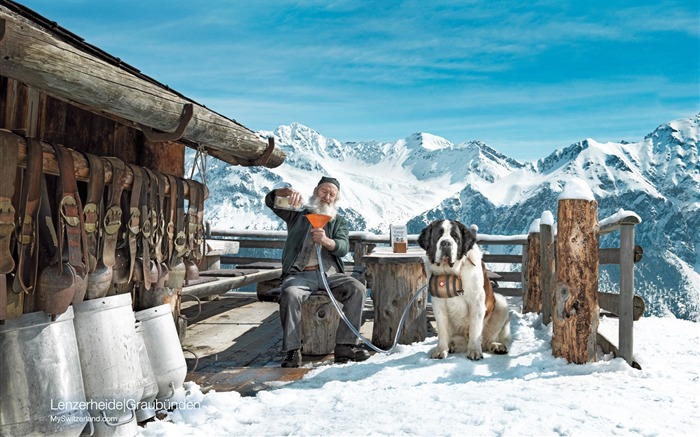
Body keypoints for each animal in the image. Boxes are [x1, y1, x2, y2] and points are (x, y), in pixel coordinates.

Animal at [418, 220, 512, 360]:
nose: (446, 243)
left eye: (455, 237)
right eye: (438, 236)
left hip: (501, 303)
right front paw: (441, 350)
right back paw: (451, 346)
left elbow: (475, 329)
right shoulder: (438, 303)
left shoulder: (477, 302)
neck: (452, 272)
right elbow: (442, 329)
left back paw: (496, 346)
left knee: (487, 341)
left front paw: (474, 351)